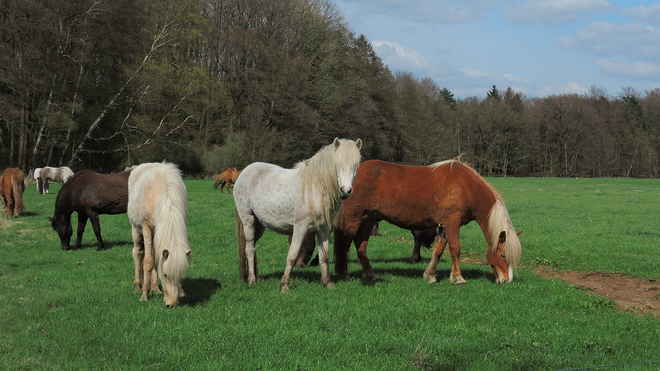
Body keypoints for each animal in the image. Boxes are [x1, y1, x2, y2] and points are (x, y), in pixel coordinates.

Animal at [127, 163, 192, 308]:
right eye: (165, 275)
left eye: (181, 274)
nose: (171, 304)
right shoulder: (147, 227)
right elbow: (148, 261)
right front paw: (144, 294)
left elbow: (154, 259)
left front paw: (181, 291)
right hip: (136, 230)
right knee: (138, 253)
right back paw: (138, 285)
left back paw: (156, 288)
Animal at [235, 139, 364, 294]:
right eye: (337, 164)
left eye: (356, 165)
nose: (345, 191)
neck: (316, 187)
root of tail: (244, 172)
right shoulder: (300, 228)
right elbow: (292, 256)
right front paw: (284, 286)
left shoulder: (324, 230)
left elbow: (324, 256)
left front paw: (328, 283)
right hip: (248, 221)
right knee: (249, 249)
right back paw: (252, 280)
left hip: (259, 226)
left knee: (253, 247)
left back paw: (256, 277)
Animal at [336, 159, 520, 284]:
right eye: (503, 255)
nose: (506, 280)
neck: (465, 186)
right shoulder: (452, 222)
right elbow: (455, 249)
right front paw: (458, 278)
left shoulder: (444, 225)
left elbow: (438, 250)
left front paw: (430, 275)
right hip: (354, 217)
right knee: (345, 242)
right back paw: (344, 274)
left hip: (368, 218)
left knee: (361, 245)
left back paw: (371, 275)